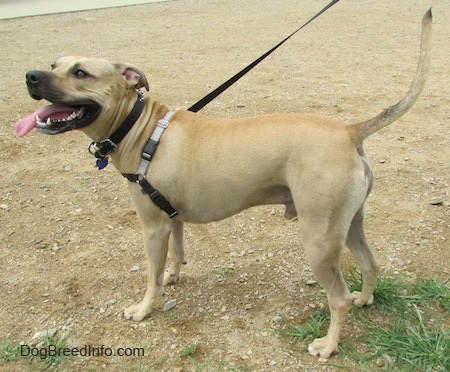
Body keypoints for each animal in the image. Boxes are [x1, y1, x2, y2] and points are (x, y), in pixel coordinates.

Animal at [14, 10, 432, 356]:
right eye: (54, 64)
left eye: (80, 73)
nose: (31, 75)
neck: (140, 126)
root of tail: (349, 131)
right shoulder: (171, 219)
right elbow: (177, 253)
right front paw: (174, 275)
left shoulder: (151, 227)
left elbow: (150, 276)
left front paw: (144, 308)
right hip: (347, 225)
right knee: (370, 263)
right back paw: (365, 300)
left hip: (318, 238)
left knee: (338, 298)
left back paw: (328, 345)